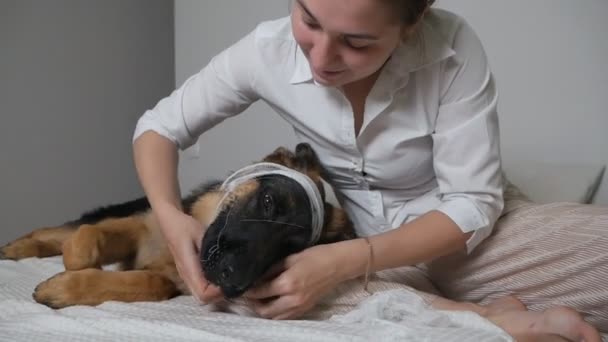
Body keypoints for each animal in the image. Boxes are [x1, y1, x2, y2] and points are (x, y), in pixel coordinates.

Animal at [0, 142, 356, 310]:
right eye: (267, 202)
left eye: (289, 250)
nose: (234, 282)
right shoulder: (141, 229)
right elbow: (87, 239)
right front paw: (76, 264)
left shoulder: (167, 280)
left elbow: (144, 283)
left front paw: (63, 288)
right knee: (57, 231)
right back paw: (16, 246)